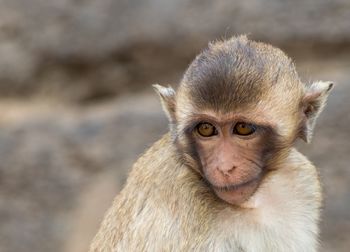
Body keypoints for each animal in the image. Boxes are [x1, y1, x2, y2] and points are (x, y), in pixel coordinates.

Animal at [89, 36, 332, 252]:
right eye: (206, 129)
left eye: (243, 128)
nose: (224, 167)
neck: (250, 203)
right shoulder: (180, 192)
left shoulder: (301, 180)